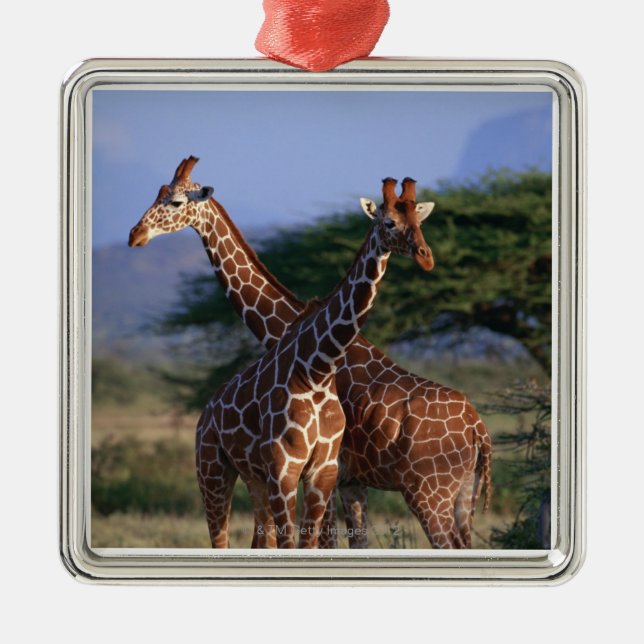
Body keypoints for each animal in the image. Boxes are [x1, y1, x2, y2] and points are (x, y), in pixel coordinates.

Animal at [128, 157, 491, 549]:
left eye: (176, 202)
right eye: (159, 194)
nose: (136, 234)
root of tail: (480, 430)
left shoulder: (329, 472)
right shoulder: (343, 480)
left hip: (428, 490)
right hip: (461, 494)